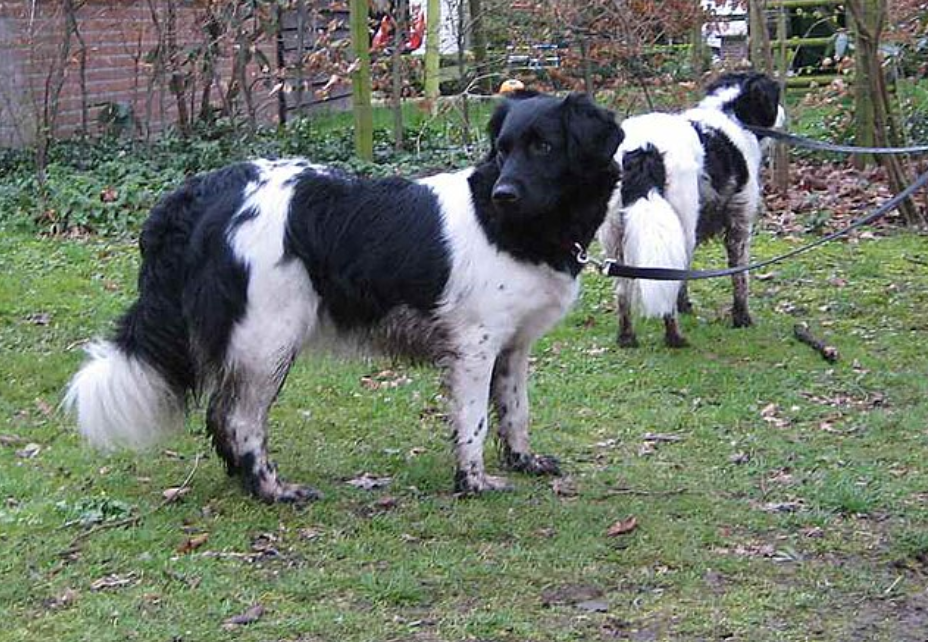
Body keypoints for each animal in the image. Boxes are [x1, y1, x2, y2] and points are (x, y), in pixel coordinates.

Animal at [65, 91, 624, 500]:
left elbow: (515, 410)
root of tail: (202, 190)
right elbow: (475, 421)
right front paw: (474, 482)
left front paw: (525, 461)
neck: (515, 228)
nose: (503, 194)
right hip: (270, 338)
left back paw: (245, 483)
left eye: (544, 147)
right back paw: (272, 490)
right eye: (503, 150)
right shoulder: (474, 345)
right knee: (238, 418)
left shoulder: (512, 346)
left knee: (221, 416)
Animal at [596, 71, 784, 344]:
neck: (730, 113)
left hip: (615, 235)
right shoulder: (739, 223)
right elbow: (740, 276)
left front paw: (685, 304)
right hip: (679, 220)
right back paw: (674, 337)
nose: (783, 113)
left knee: (623, 289)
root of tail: (643, 148)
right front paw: (742, 318)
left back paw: (626, 337)